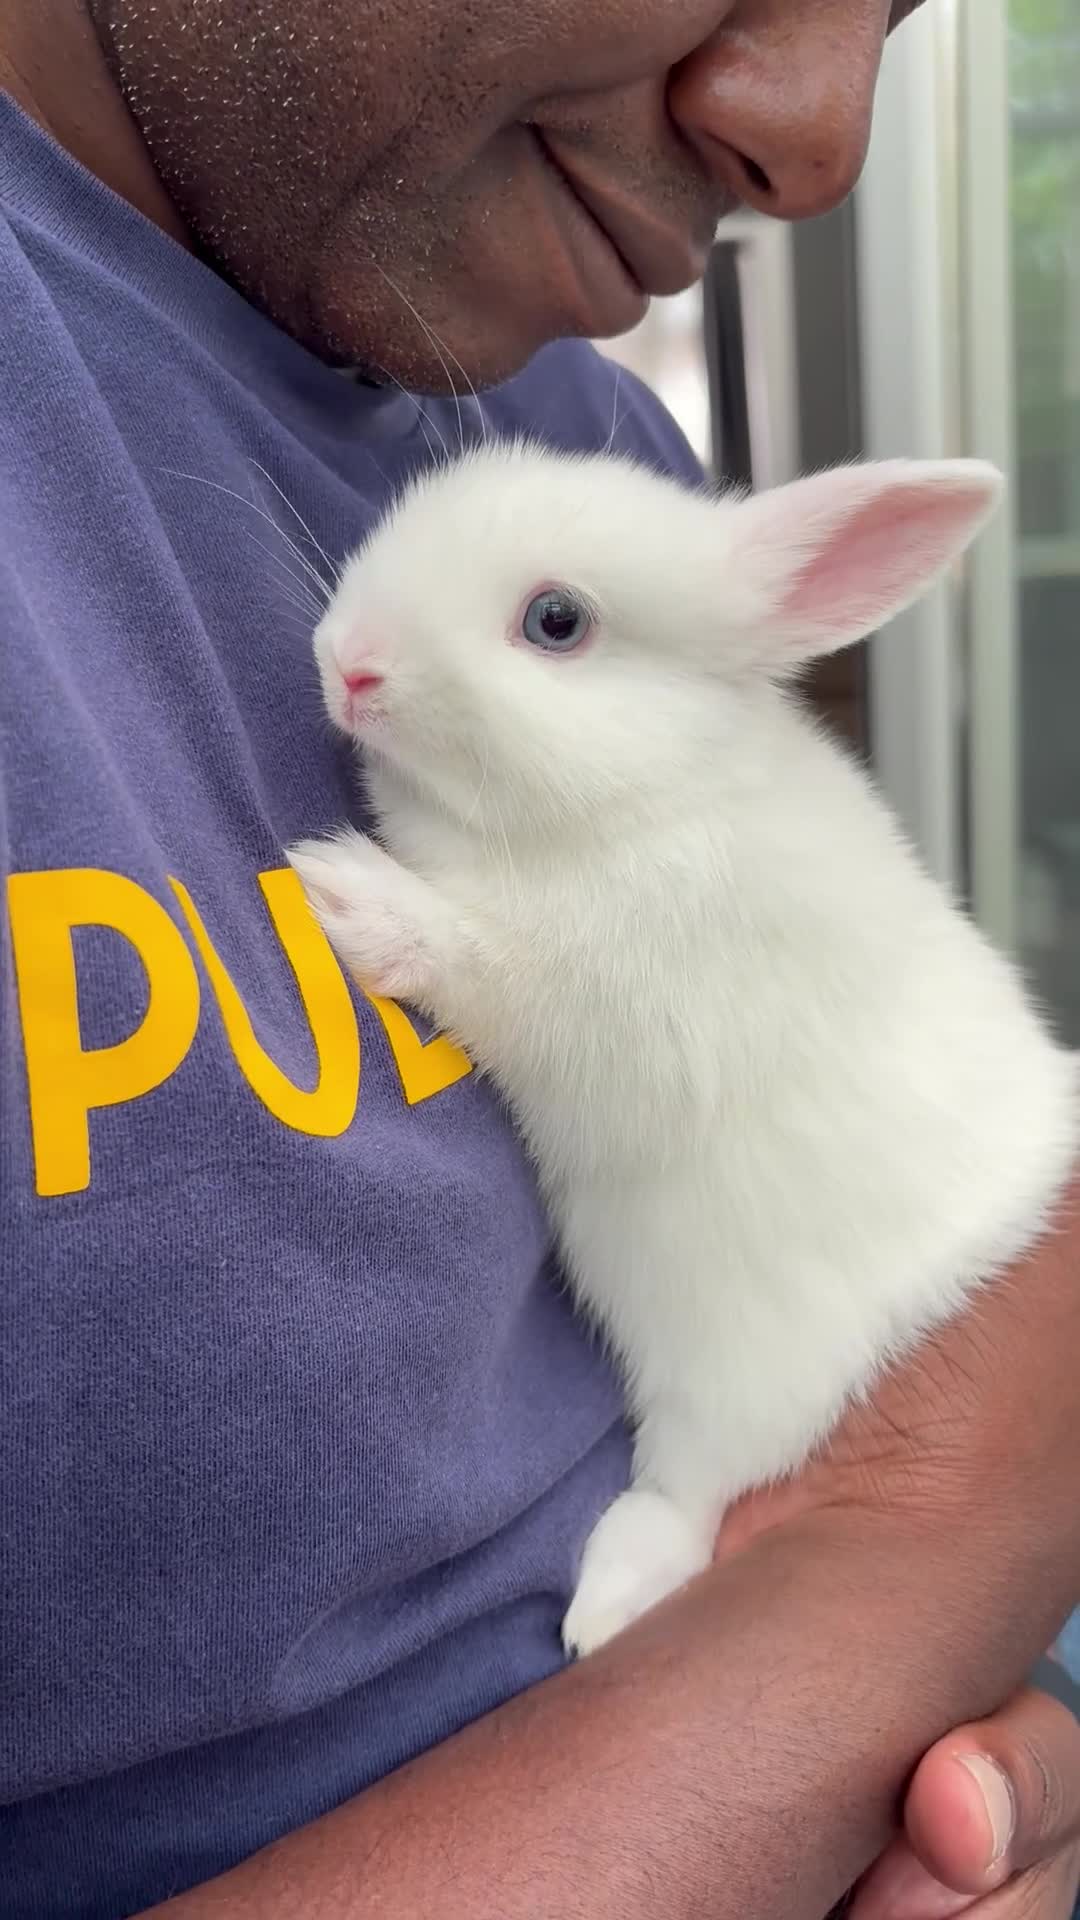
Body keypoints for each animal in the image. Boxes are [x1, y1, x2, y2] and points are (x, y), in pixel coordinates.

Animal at [287, 443, 1077, 1659]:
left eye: (556, 622)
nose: (350, 664)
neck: (647, 792)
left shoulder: (582, 995)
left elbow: (467, 954)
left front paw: (346, 894)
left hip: (751, 1377)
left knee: (690, 1491)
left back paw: (606, 1608)